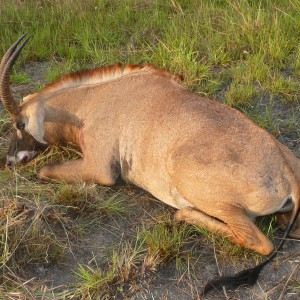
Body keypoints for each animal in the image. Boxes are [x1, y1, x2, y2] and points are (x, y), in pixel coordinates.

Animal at [1, 34, 298, 292]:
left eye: (19, 124)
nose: (9, 161)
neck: (90, 101)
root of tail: (286, 173)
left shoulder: (100, 168)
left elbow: (44, 171)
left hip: (197, 186)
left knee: (259, 242)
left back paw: (183, 214)